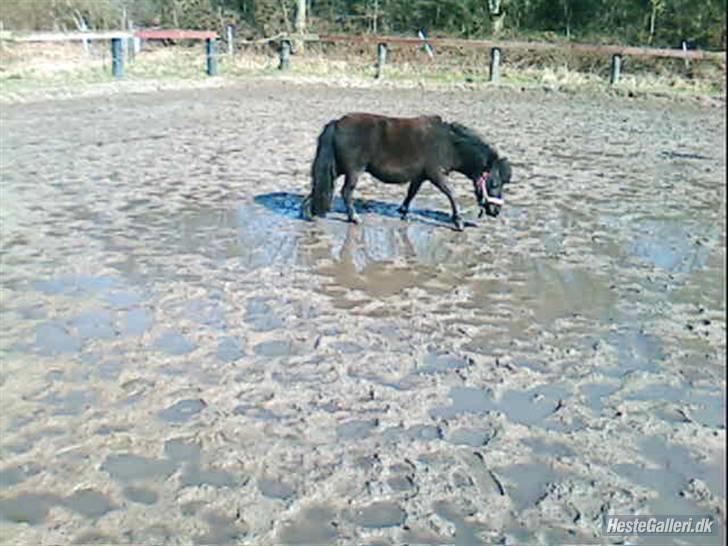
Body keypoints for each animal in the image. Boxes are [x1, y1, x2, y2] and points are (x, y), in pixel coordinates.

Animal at [302, 112, 512, 227]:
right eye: (494, 183)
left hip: (338, 168)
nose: (495, 211)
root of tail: (337, 123)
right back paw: (353, 218)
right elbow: (450, 193)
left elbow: (411, 193)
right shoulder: (436, 174)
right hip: (354, 171)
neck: (448, 144)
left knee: (320, 185)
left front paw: (403, 212)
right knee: (346, 192)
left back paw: (308, 210)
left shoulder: (420, 176)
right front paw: (458, 221)